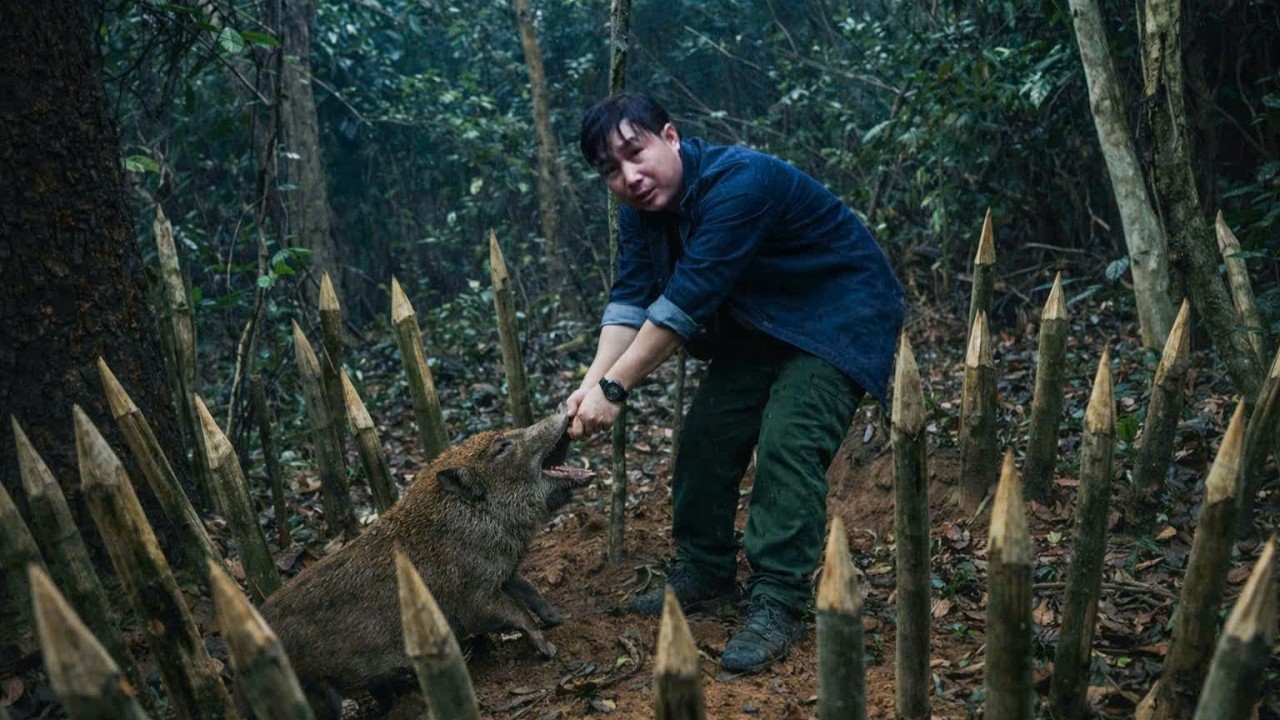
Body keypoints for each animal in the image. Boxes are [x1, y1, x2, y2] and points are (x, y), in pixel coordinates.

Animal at [253, 411, 592, 720]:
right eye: (502, 447)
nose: (566, 410)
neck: (479, 522)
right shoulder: (472, 601)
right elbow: (514, 612)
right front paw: (549, 650)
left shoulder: (502, 572)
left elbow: (528, 588)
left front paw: (560, 619)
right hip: (316, 691)